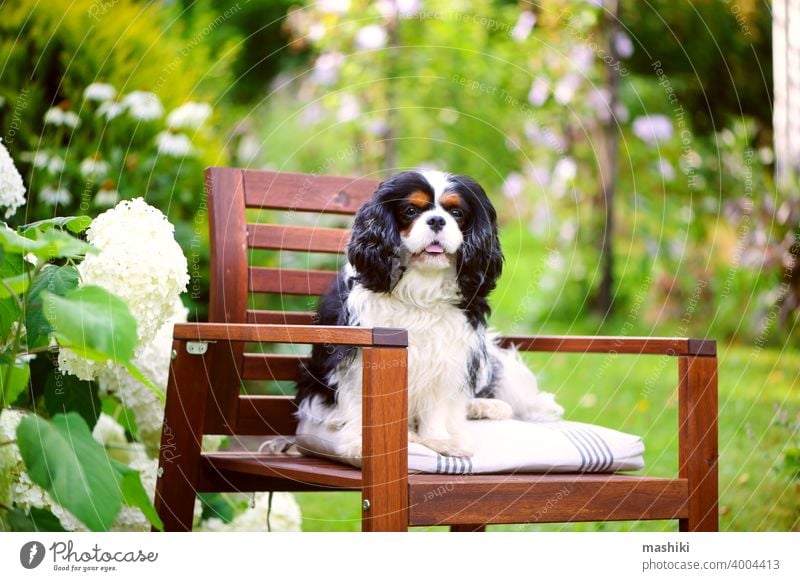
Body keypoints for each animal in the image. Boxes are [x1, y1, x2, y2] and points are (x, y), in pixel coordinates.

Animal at [294, 168, 564, 458]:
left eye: (457, 212)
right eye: (411, 210)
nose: (436, 220)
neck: (421, 287)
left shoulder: (447, 352)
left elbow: (437, 406)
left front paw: (439, 439)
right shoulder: (357, 354)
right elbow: (359, 399)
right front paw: (359, 442)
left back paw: (483, 407)